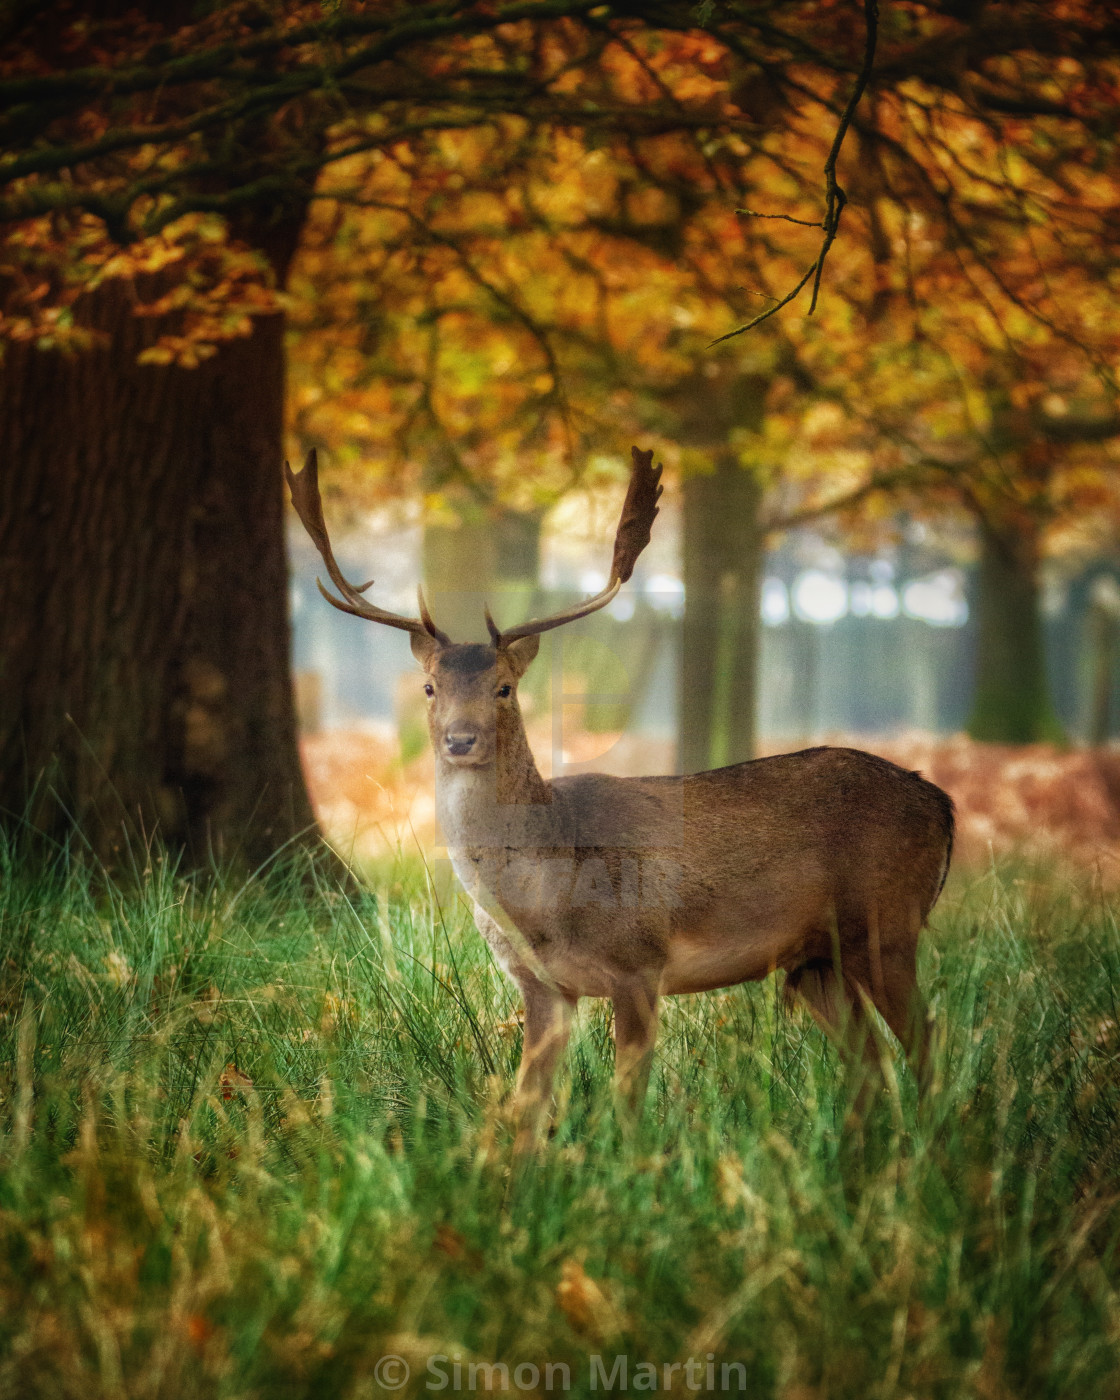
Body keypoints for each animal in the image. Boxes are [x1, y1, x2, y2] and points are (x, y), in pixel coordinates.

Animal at [288, 448, 952, 1136]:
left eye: (504, 688)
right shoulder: (542, 985)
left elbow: (628, 1105)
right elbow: (524, 1110)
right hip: (817, 961)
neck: (542, 896)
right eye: (428, 687)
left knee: (929, 1043)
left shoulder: (639, 963)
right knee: (872, 1063)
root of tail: (943, 806)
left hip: (886, 922)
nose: (460, 739)